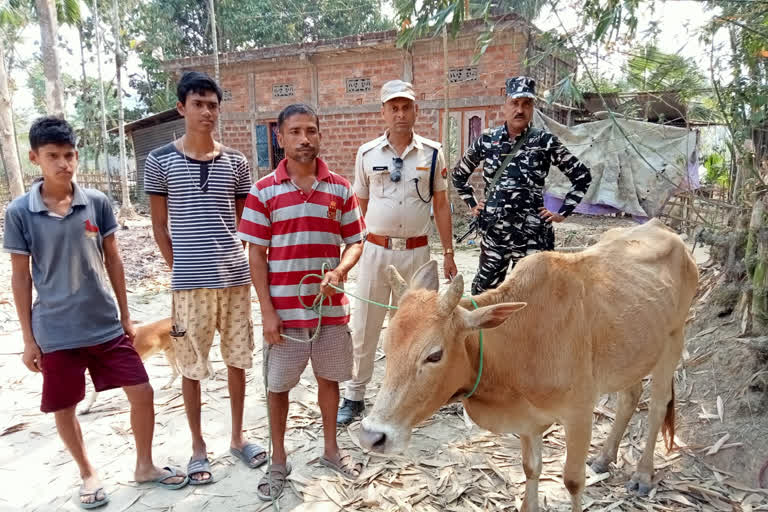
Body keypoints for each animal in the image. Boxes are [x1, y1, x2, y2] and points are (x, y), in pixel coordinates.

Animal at [356, 218, 700, 510]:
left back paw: (642, 475)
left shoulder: (579, 413)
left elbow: (572, 481)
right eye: (387, 347)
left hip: (673, 339)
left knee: (657, 406)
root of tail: (666, 231)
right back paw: (604, 457)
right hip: (633, 354)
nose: (372, 436)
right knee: (629, 398)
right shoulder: (528, 421)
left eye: (434, 355)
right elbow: (531, 469)